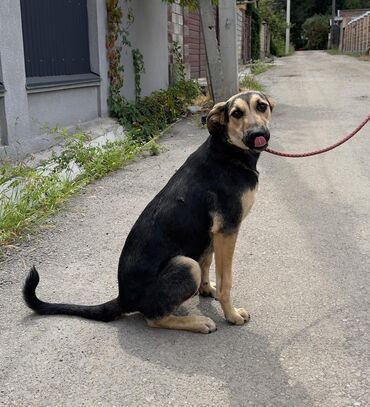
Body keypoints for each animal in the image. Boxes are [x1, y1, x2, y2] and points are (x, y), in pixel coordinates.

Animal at [21, 90, 274, 334]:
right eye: (236, 113)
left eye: (261, 106)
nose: (257, 134)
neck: (228, 151)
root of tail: (123, 298)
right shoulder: (227, 230)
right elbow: (225, 282)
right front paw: (231, 315)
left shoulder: (213, 234)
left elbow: (207, 262)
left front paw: (206, 289)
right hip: (185, 265)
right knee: (153, 318)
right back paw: (198, 322)